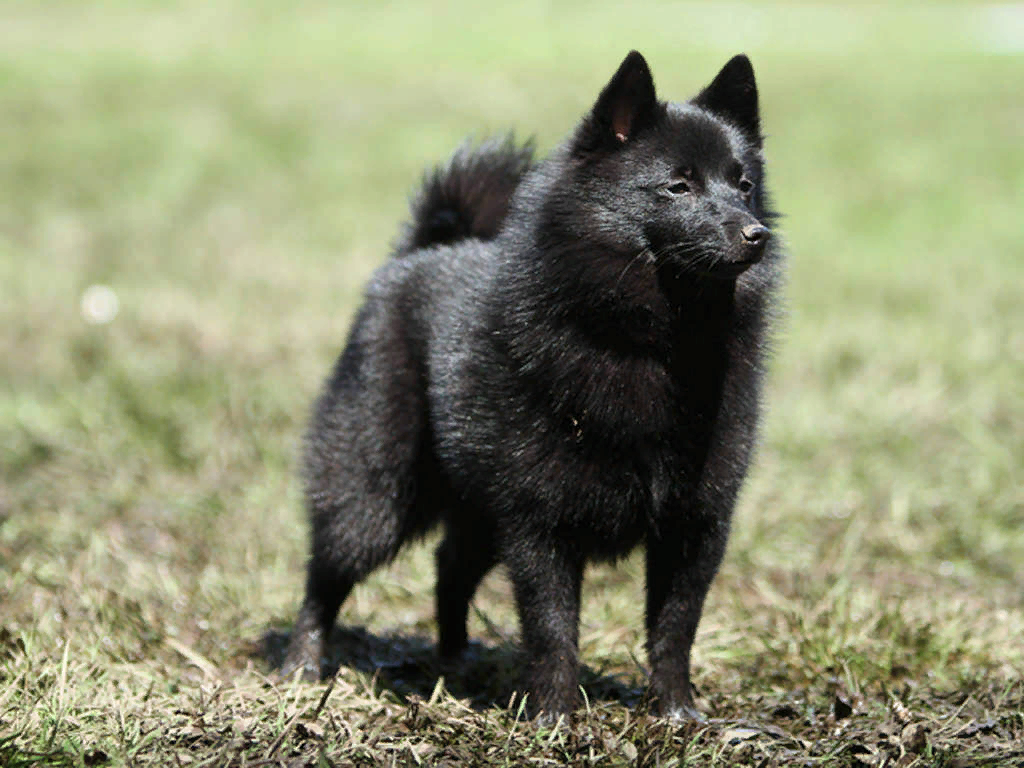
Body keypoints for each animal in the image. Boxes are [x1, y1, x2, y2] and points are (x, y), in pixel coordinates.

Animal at [282, 49, 782, 720]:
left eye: (744, 184)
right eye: (679, 185)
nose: (756, 234)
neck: (649, 345)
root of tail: (420, 252)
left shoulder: (694, 524)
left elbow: (675, 627)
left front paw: (677, 712)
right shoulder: (540, 522)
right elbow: (551, 627)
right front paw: (554, 717)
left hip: (476, 504)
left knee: (451, 567)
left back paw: (455, 662)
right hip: (376, 492)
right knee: (326, 576)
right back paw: (303, 668)